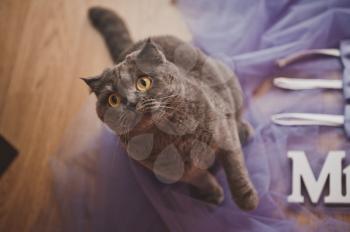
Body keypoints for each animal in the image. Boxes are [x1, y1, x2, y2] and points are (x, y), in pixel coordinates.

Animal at [84, 6, 260, 210]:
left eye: (143, 83)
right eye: (113, 100)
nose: (131, 101)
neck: (173, 136)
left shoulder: (222, 131)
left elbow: (235, 165)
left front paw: (246, 200)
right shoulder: (173, 171)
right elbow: (200, 178)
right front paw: (213, 192)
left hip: (228, 80)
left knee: (234, 117)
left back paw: (243, 131)